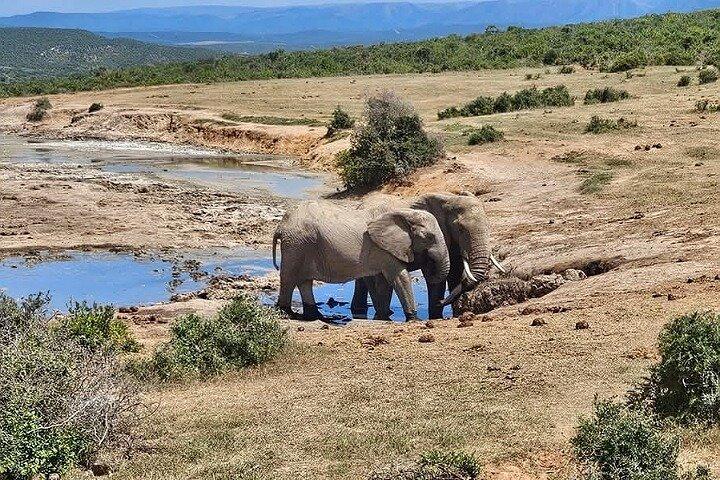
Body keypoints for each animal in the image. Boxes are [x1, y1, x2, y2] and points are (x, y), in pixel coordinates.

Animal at [272, 201, 451, 321]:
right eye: (429, 237)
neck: (405, 213)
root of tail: (281, 225)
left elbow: (384, 282)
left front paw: (384, 315)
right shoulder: (384, 249)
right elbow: (400, 277)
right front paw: (413, 319)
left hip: (302, 245)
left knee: (305, 281)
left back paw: (316, 316)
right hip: (297, 244)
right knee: (289, 278)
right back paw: (286, 312)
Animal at [351, 193, 505, 320]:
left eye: (488, 226)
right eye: (460, 229)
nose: (441, 302)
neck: (450, 198)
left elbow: (454, 272)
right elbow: (439, 276)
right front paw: (436, 316)